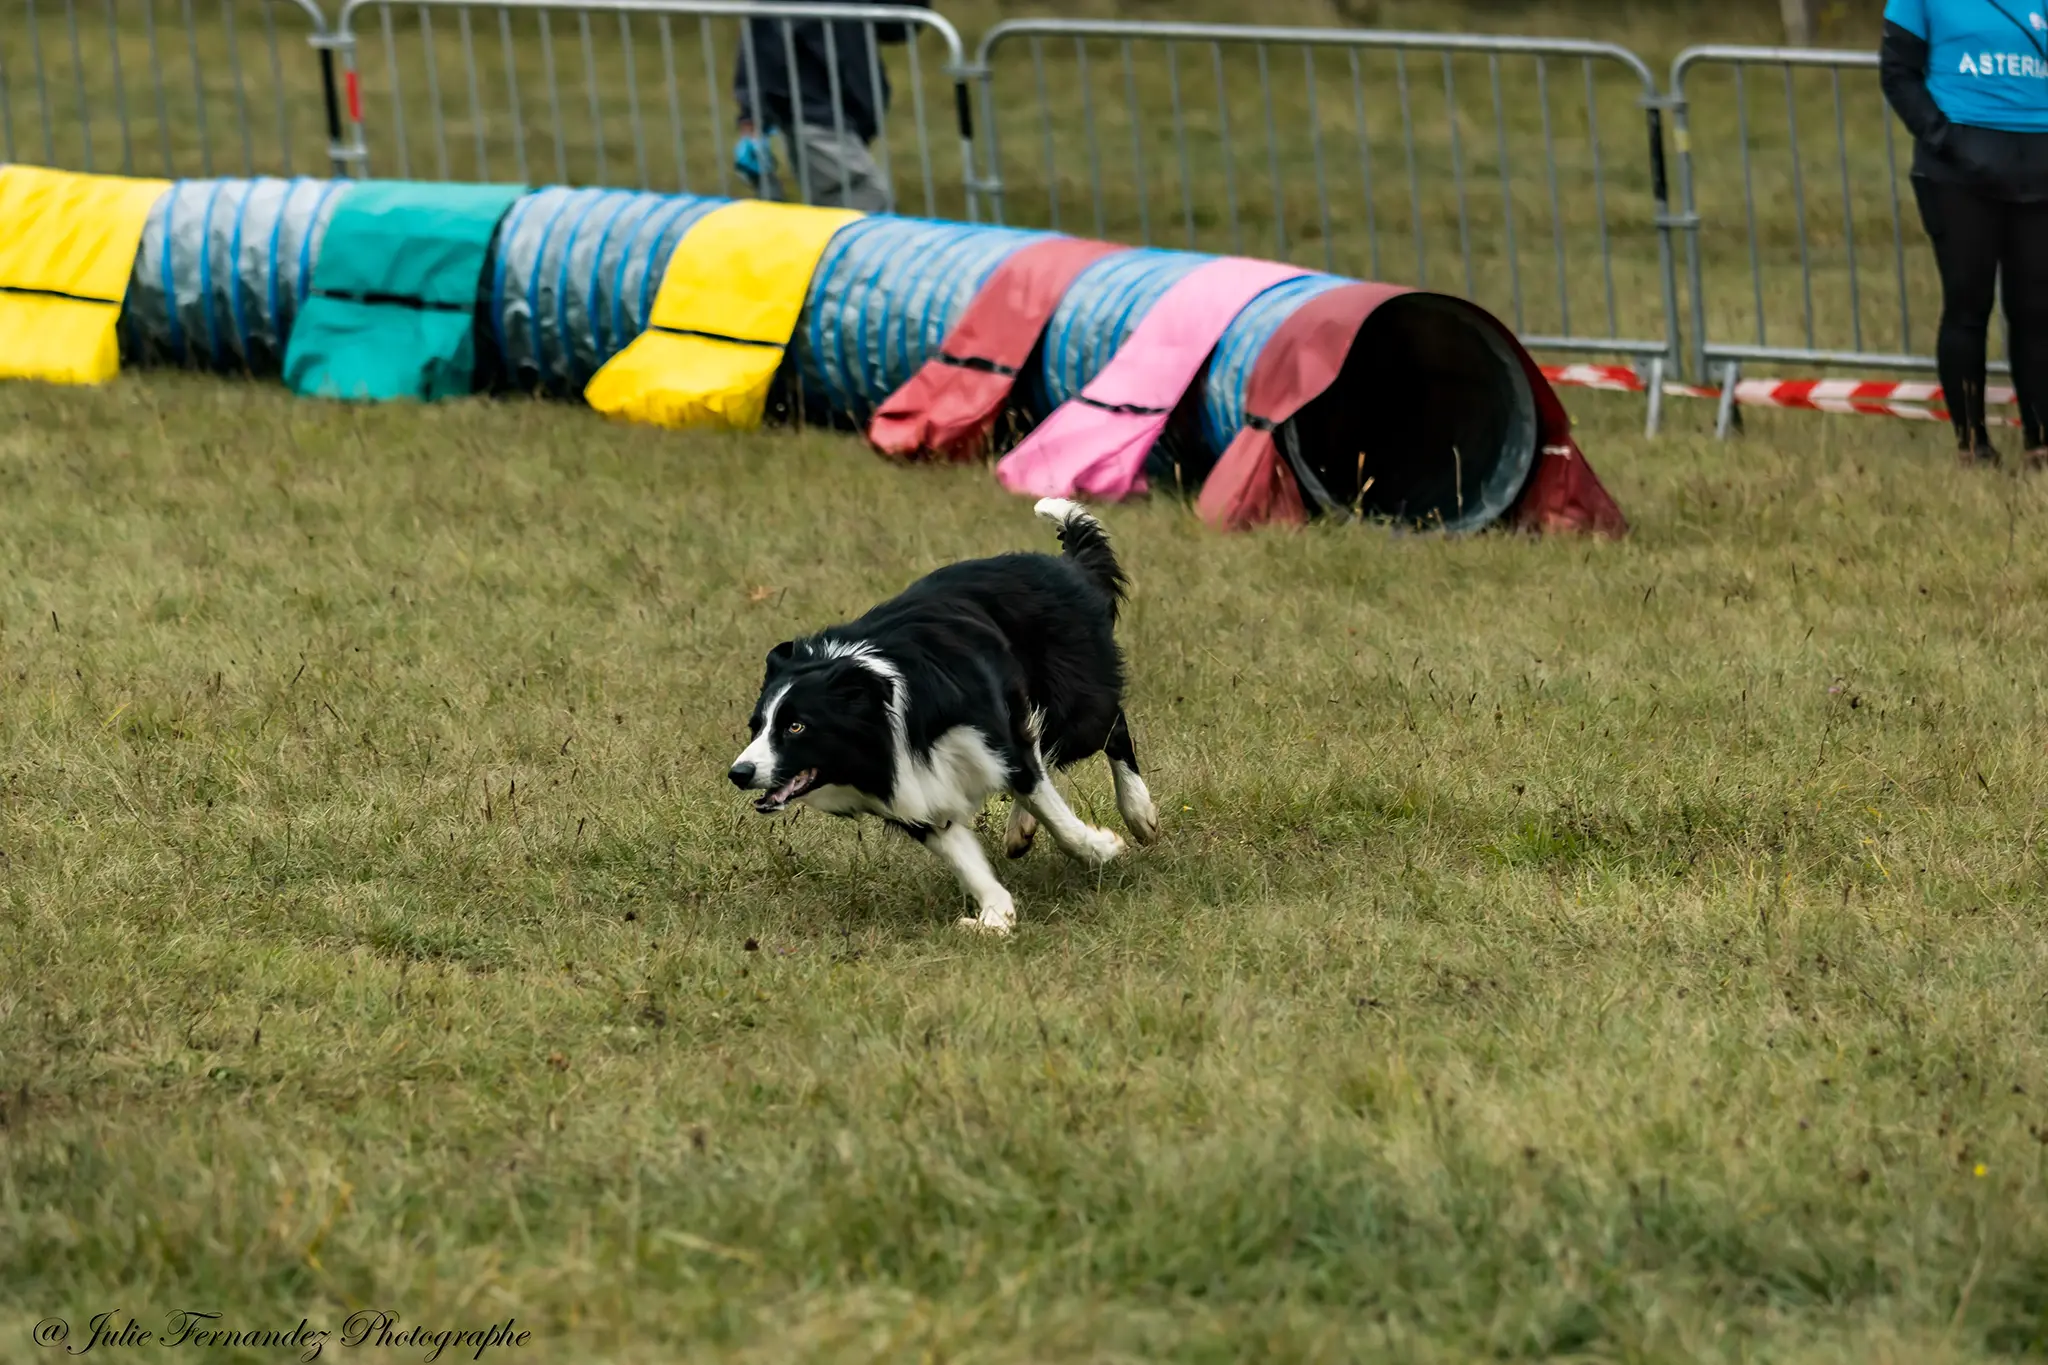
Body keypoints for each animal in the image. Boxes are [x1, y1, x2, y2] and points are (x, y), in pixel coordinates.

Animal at [729, 501, 1163, 941]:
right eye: (756, 726)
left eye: (796, 727)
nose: (738, 773)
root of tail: (1066, 567)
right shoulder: (914, 788)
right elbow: (962, 855)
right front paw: (995, 915)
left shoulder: (992, 739)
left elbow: (1050, 808)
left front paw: (1102, 848)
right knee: (1046, 753)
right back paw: (1021, 830)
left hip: (1074, 701)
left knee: (1108, 730)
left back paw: (1138, 814)